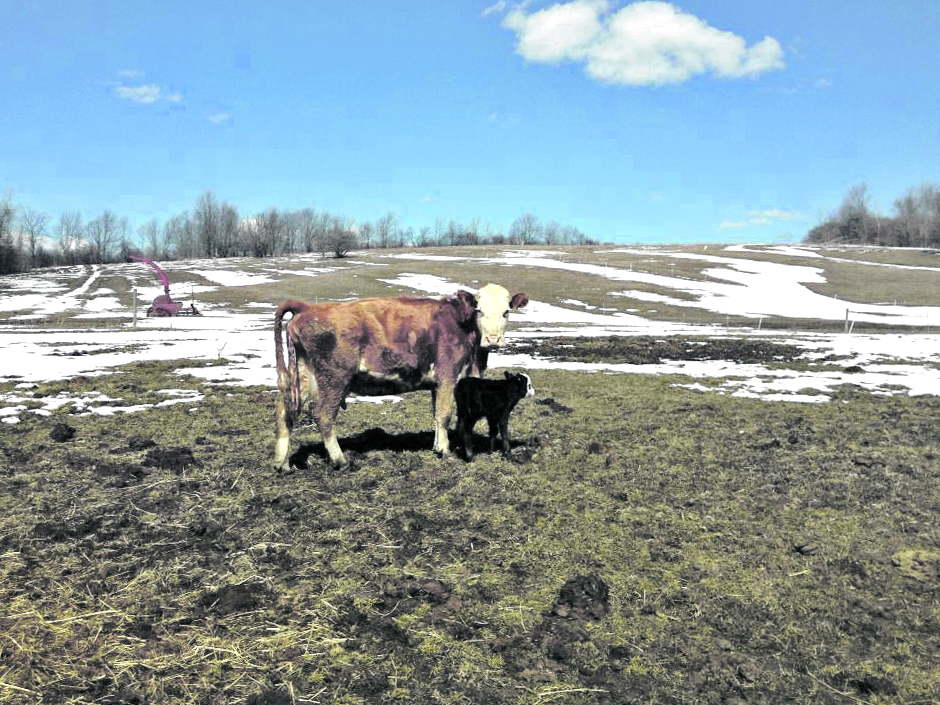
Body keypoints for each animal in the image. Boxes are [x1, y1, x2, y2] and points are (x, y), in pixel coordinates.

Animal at [274, 284, 528, 469]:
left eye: (506, 312)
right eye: (479, 310)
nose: (493, 339)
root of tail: (307, 308)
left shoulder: (438, 384)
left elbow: (437, 414)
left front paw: (437, 446)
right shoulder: (447, 376)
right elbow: (445, 414)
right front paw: (445, 450)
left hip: (303, 377)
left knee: (284, 413)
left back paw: (282, 463)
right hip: (334, 379)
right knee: (323, 415)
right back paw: (340, 460)